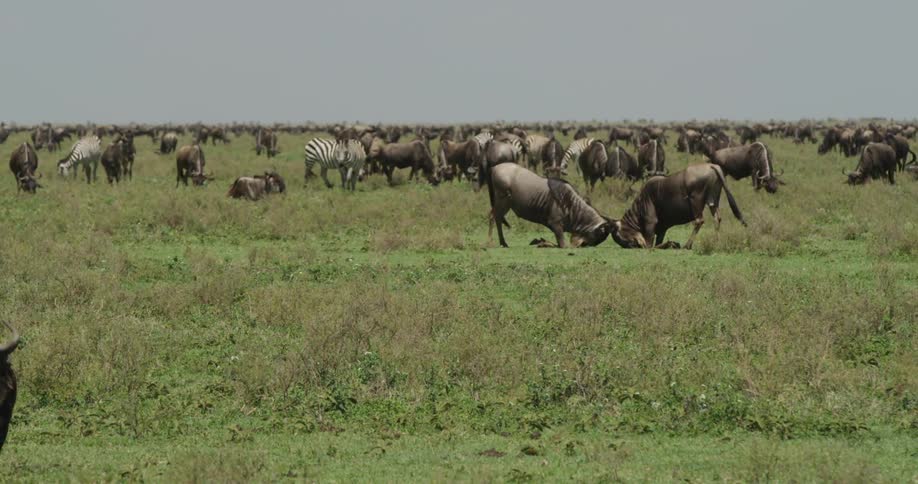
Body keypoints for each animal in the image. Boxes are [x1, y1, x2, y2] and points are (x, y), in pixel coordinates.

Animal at [609, 164, 746, 249]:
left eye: (620, 237)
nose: (634, 245)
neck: (640, 203)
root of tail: (711, 166)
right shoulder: (662, 229)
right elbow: (658, 241)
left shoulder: (651, 224)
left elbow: (651, 246)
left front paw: (673, 243)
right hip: (713, 201)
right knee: (717, 219)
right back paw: (716, 242)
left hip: (696, 202)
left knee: (699, 221)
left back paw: (687, 245)